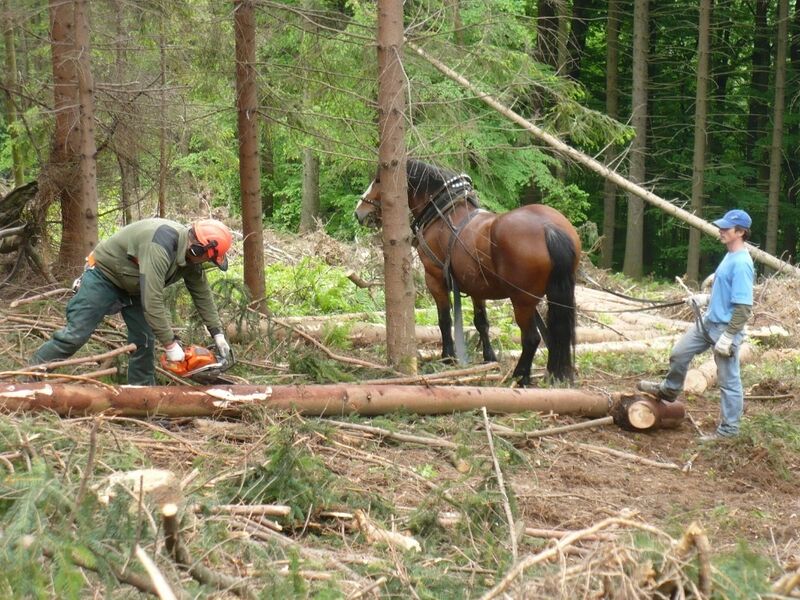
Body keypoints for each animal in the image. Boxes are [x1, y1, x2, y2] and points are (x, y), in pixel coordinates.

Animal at [356, 159, 580, 384]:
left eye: (379, 180)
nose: (359, 212)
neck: (444, 213)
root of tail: (549, 227)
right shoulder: (477, 287)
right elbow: (482, 322)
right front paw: (489, 358)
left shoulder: (435, 278)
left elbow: (444, 319)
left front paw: (448, 357)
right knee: (556, 334)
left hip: (521, 300)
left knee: (532, 338)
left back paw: (521, 377)